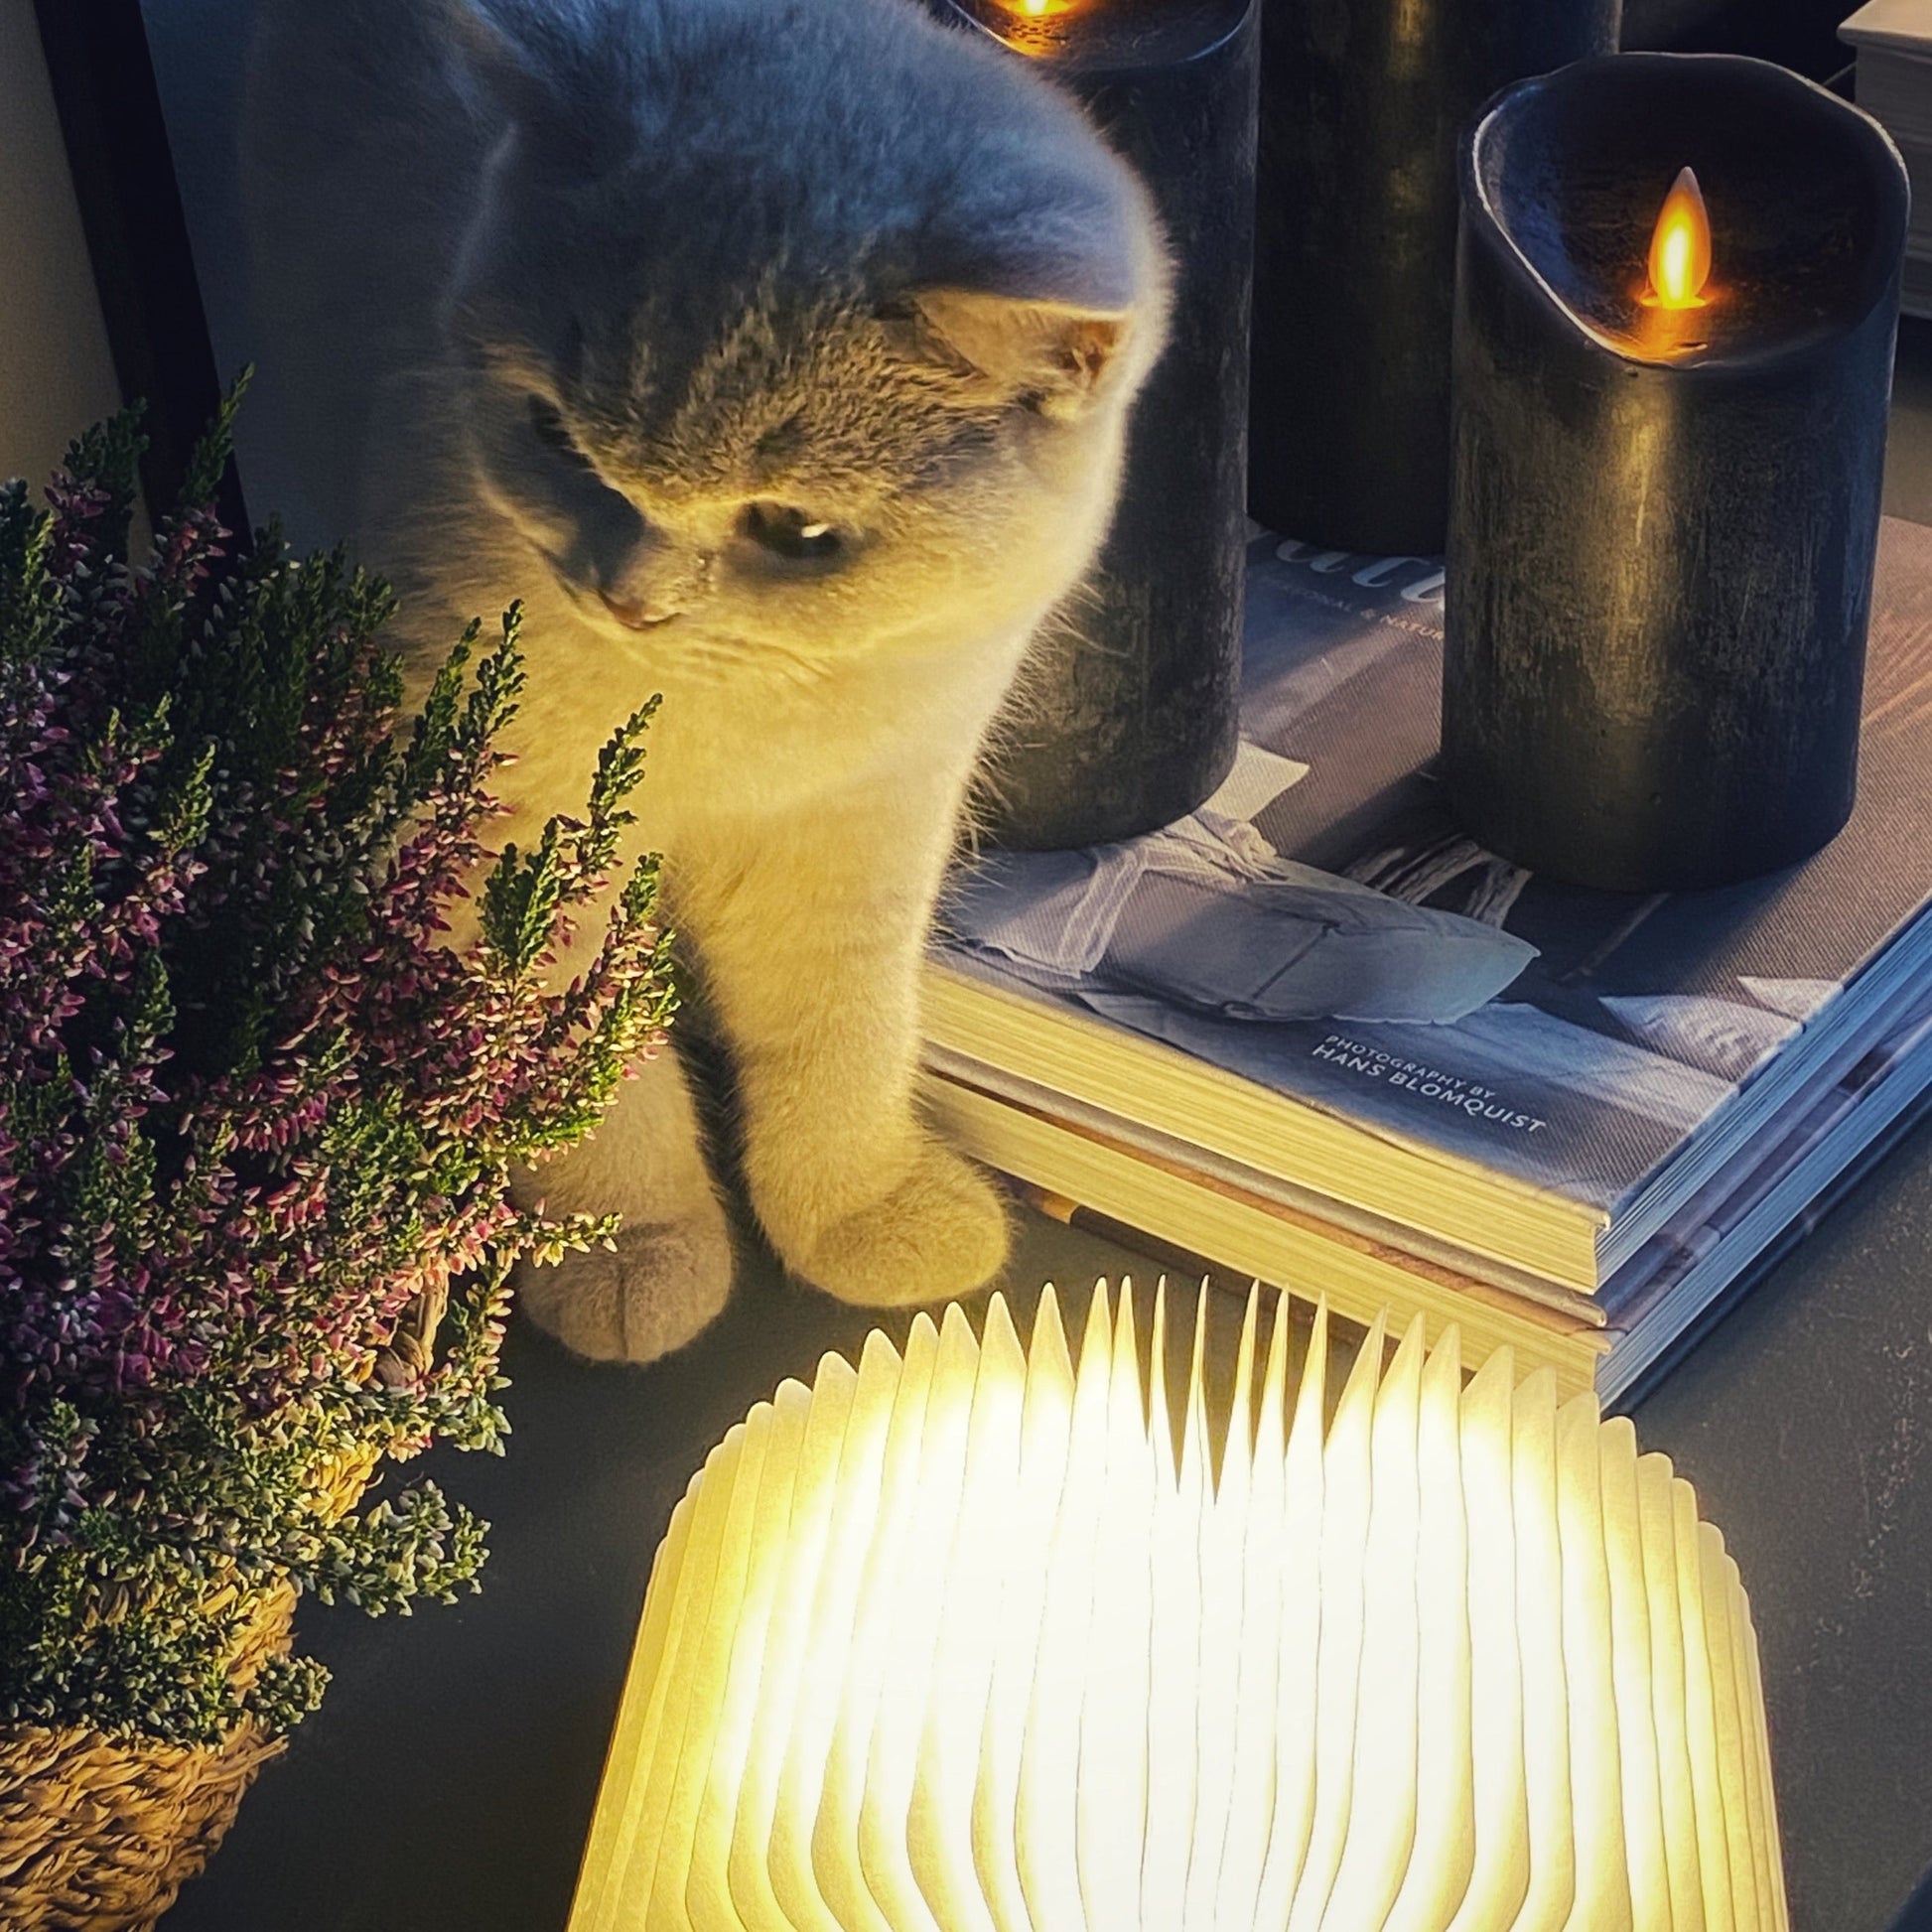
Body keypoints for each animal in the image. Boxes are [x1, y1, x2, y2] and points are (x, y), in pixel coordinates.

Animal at [243, 0, 1170, 1362]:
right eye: (556, 439)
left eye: (794, 530)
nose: (627, 595)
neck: (738, 724)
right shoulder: (516, 847)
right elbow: (586, 1077)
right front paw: (631, 1246)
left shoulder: (863, 827)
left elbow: (842, 1036)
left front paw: (859, 1208)